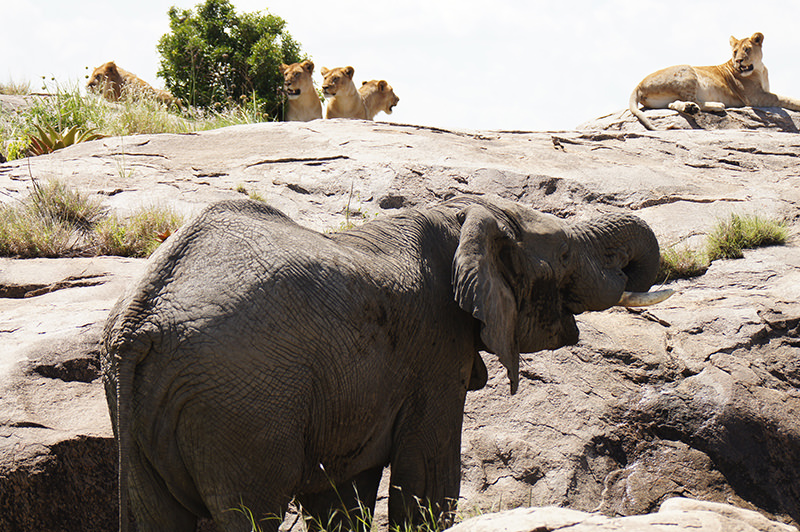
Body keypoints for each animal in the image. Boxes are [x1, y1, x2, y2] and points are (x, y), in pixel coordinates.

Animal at [103, 195, 672, 532]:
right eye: (566, 257)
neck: (464, 215)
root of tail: (141, 320)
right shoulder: (434, 350)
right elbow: (429, 480)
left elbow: (342, 496)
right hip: (244, 406)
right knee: (250, 514)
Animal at [628, 32, 800, 130]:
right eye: (735, 52)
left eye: (747, 49)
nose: (738, 61)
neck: (759, 69)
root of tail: (637, 85)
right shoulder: (755, 97)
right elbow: (783, 98)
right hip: (687, 70)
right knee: (694, 99)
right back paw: (716, 105)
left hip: (665, 98)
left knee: (673, 103)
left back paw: (691, 108)